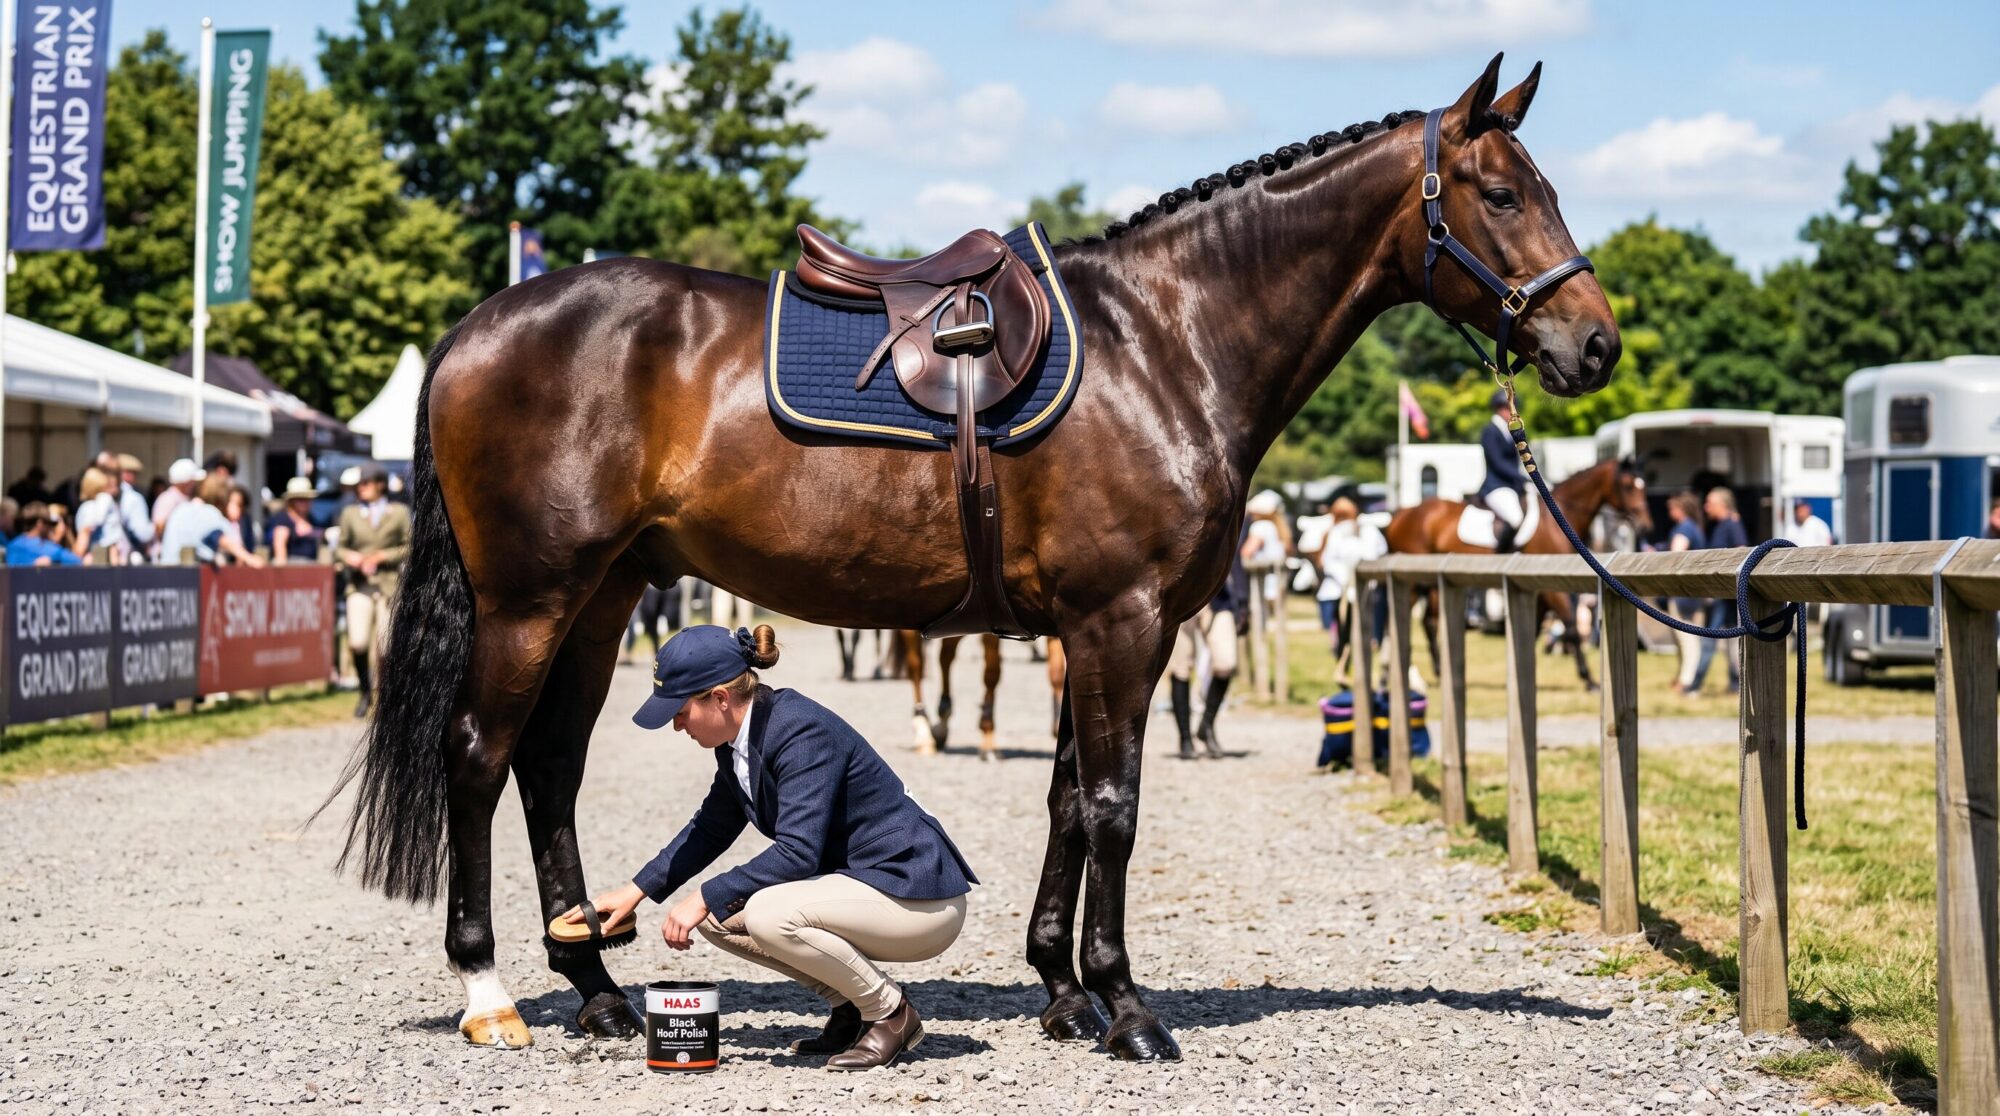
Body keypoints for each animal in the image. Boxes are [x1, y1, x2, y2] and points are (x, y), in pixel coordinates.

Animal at [326, 55, 1618, 1060]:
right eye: (1500, 193)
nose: (1594, 344)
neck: (1166, 344)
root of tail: (480, 324)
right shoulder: (1121, 621)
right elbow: (1113, 808)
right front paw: (1126, 1007)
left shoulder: (1100, 631)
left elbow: (1066, 800)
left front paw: (1060, 989)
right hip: (529, 600)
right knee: (479, 757)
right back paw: (491, 993)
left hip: (604, 599)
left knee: (548, 766)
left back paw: (596, 986)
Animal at [1383, 456, 1651, 688]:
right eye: (1628, 486)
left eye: (1643, 485)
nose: (1647, 525)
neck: (1558, 518)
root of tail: (1401, 513)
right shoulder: (1550, 588)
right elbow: (1571, 627)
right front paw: (1589, 679)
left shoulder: (1537, 587)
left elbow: (1534, 628)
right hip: (1415, 581)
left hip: (1432, 584)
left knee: (1429, 621)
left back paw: (1436, 671)